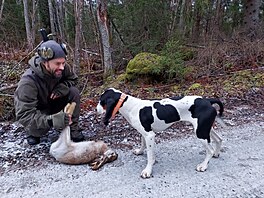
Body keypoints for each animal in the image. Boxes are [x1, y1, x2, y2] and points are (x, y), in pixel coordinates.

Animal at [96, 88, 224, 178]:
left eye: (101, 101)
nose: (96, 109)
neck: (130, 105)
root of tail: (208, 100)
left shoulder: (150, 135)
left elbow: (149, 155)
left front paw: (147, 171)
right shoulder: (144, 133)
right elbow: (143, 144)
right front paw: (140, 152)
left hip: (200, 132)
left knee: (210, 150)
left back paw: (203, 166)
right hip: (205, 129)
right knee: (219, 139)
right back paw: (216, 153)